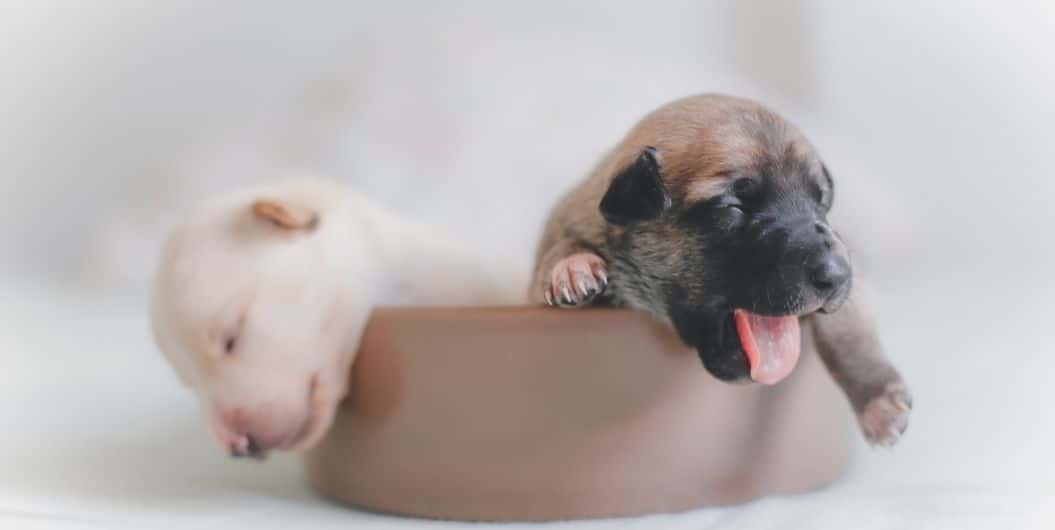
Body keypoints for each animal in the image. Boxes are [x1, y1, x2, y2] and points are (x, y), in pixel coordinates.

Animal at [531, 92, 911, 445]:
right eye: (734, 207)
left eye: (821, 203)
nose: (837, 275)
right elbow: (557, 252)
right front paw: (571, 265)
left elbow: (848, 330)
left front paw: (878, 397)